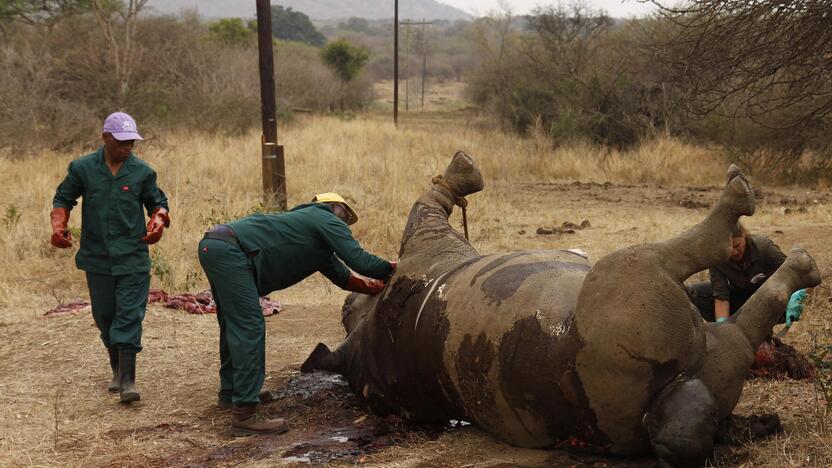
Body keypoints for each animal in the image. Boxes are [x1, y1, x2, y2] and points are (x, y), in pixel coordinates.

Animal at [300, 153, 820, 464]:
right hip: (628, 303)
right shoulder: (425, 241)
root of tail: (676, 391)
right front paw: (463, 173)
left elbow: (433, 200)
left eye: (349, 302)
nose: (351, 297)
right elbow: (431, 202)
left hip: (698, 357)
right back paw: (785, 246)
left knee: (733, 336)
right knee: (678, 264)